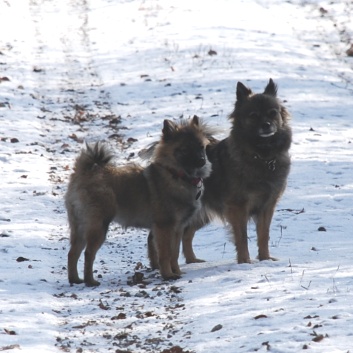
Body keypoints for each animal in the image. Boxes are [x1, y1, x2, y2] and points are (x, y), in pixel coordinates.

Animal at [65, 116, 212, 286]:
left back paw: (75, 279)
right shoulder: (164, 227)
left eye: (201, 147)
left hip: (80, 227)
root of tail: (84, 173)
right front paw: (168, 274)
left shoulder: (178, 228)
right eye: (186, 149)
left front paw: (177, 272)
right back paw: (90, 281)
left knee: (72, 253)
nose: (202, 160)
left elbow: (174, 254)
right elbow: (165, 254)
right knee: (88, 253)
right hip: (98, 226)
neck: (177, 175)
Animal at [147, 78, 290, 266]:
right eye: (253, 116)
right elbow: (242, 237)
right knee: (155, 236)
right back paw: (157, 264)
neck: (261, 156)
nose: (266, 125)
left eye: (272, 113)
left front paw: (265, 259)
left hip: (198, 214)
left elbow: (263, 236)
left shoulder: (267, 207)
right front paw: (245, 261)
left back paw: (192, 260)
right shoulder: (238, 207)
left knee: (186, 234)